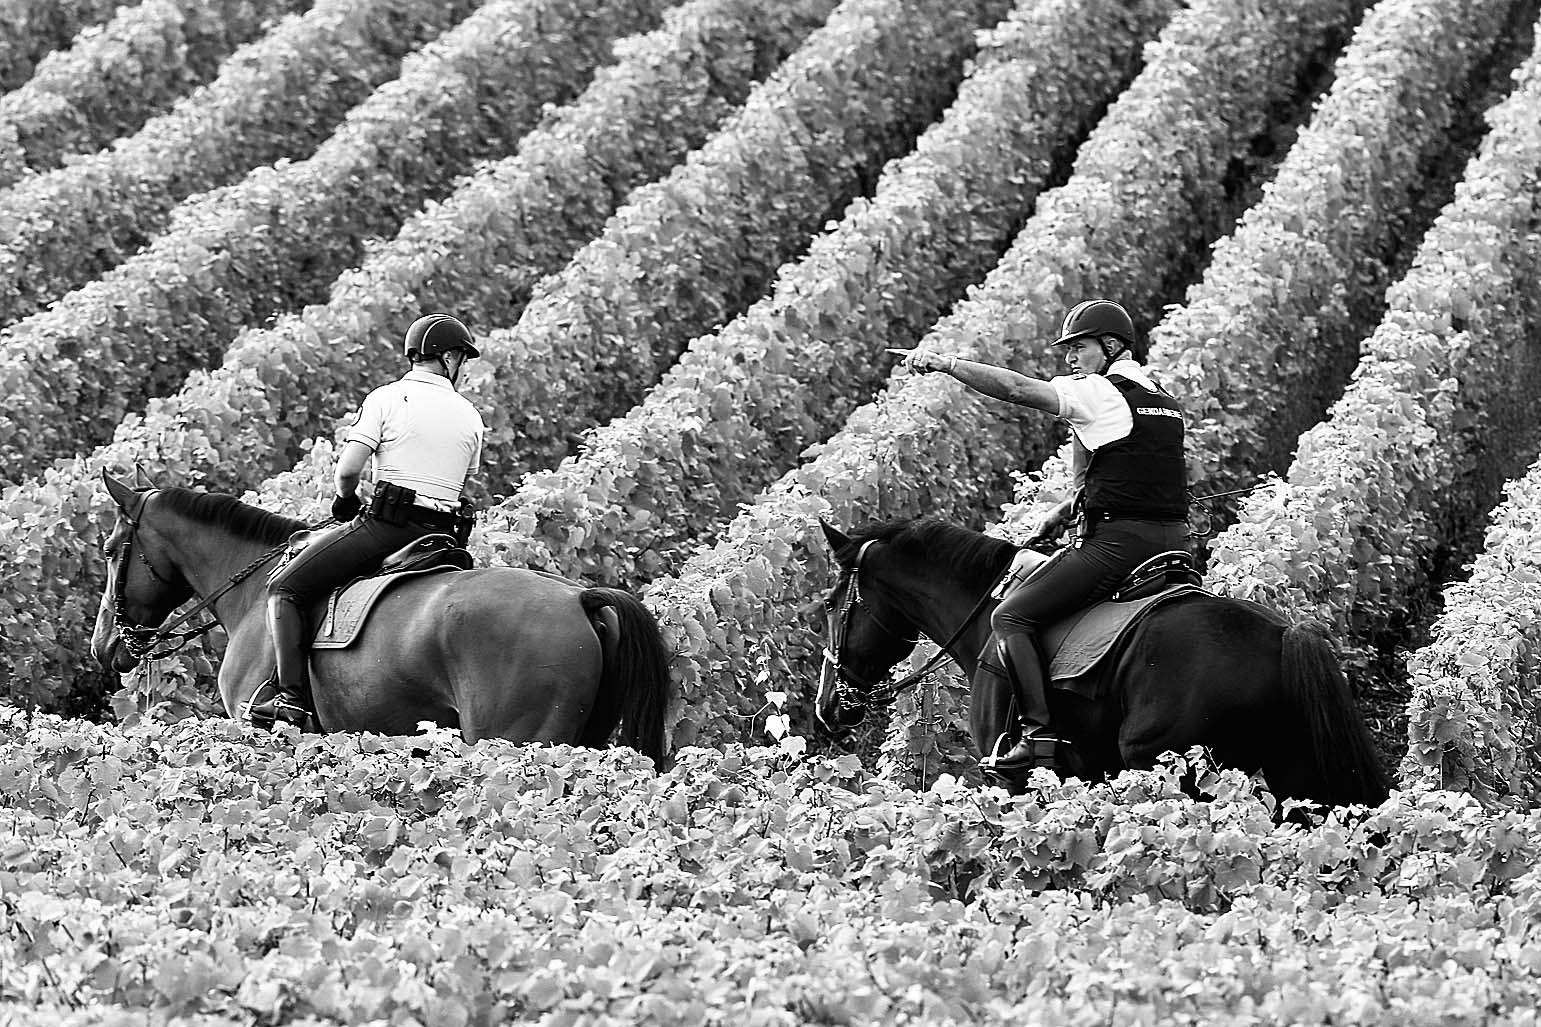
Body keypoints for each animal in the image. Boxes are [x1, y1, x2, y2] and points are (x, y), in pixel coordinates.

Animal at [815, 518, 1390, 807]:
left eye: (830, 604)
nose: (825, 708)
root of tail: (1283, 635)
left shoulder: (1013, 780)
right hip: (1295, 770)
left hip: (1175, 770)